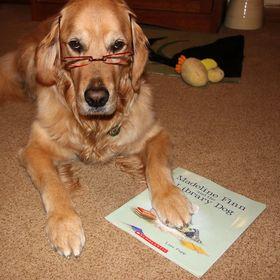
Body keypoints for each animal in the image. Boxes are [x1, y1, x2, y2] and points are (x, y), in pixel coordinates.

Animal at [0, 0, 192, 258]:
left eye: (118, 45)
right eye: (75, 44)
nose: (97, 98)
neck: (94, 125)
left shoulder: (155, 134)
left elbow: (157, 165)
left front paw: (171, 199)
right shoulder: (34, 148)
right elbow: (52, 182)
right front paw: (64, 224)